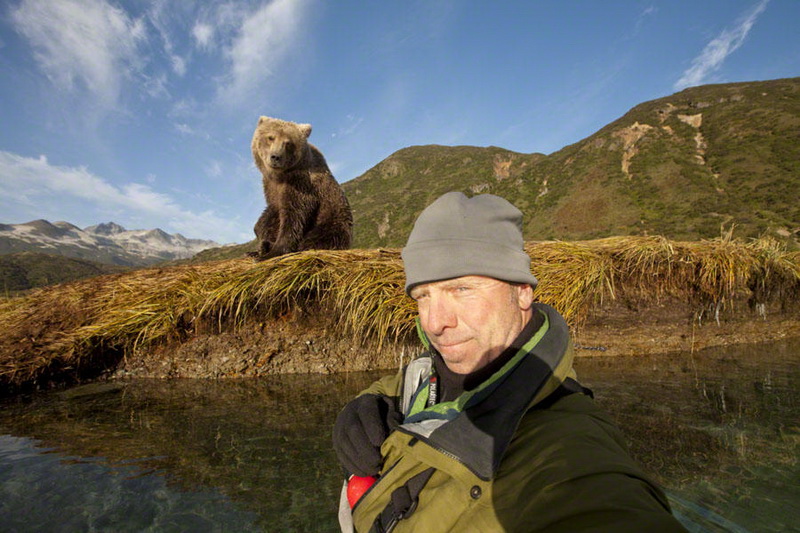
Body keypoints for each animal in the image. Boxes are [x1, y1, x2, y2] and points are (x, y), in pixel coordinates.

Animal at [250, 116, 350, 260]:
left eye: (288, 143)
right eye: (271, 137)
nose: (276, 157)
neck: (280, 176)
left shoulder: (301, 183)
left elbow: (295, 215)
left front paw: (273, 251)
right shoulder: (269, 186)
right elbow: (271, 213)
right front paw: (260, 243)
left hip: (332, 220)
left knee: (320, 237)